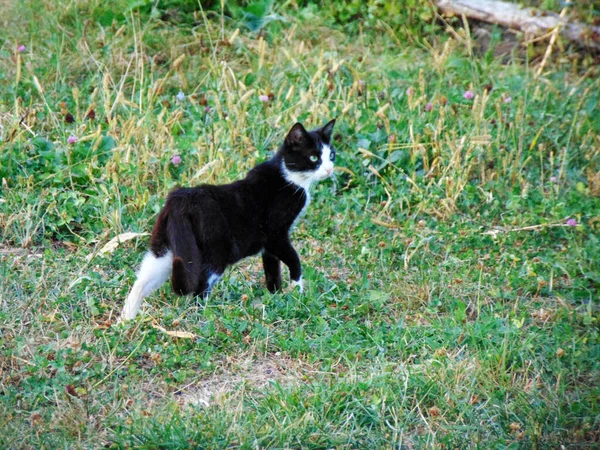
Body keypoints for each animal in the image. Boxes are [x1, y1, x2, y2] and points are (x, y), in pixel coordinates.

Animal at [120, 118, 338, 320]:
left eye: (331, 155)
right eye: (313, 157)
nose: (329, 169)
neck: (290, 177)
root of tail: (181, 199)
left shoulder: (270, 246)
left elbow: (272, 268)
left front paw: (276, 296)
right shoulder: (275, 233)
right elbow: (293, 259)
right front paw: (297, 290)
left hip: (167, 245)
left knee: (142, 280)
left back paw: (125, 321)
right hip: (216, 253)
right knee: (199, 290)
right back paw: (203, 318)